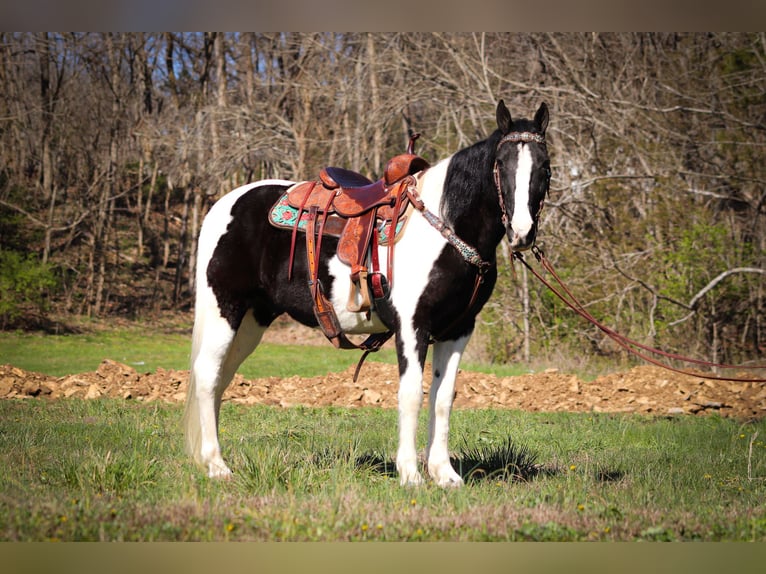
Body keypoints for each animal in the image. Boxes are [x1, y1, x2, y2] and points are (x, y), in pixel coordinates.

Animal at [183, 101, 556, 488]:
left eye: (545, 168)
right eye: (502, 165)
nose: (523, 232)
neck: (445, 227)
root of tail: (223, 205)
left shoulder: (457, 330)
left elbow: (443, 398)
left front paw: (444, 474)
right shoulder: (412, 327)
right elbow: (411, 395)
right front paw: (410, 473)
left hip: (252, 320)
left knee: (222, 377)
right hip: (225, 308)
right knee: (208, 375)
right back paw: (217, 466)